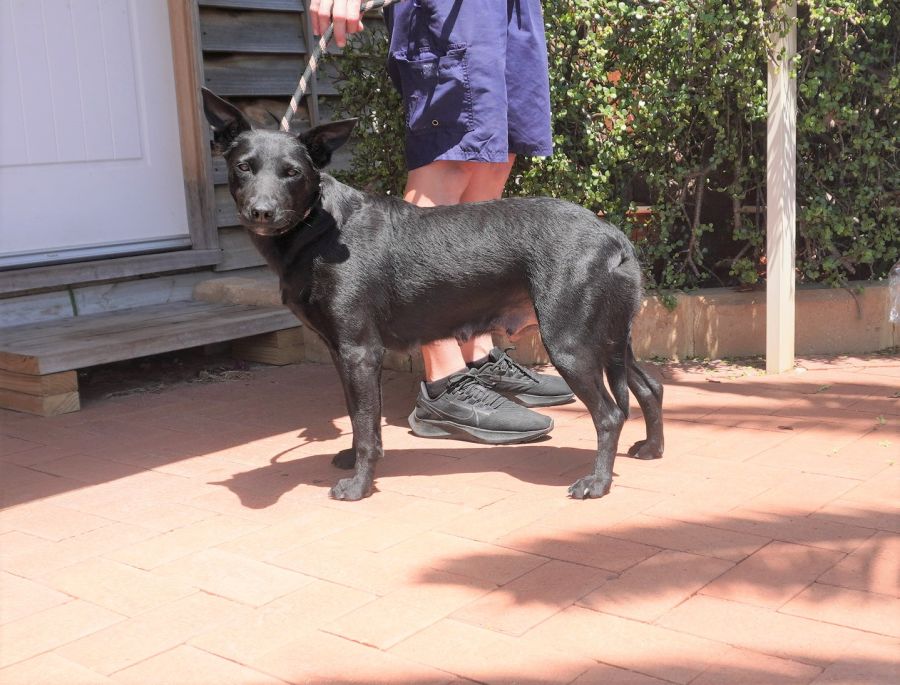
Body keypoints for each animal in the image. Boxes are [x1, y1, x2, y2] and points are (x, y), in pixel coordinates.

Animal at [202, 88, 664, 501]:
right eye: (243, 167)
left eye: (293, 172)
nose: (261, 211)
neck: (323, 227)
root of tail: (613, 236)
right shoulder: (341, 352)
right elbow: (357, 415)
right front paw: (352, 459)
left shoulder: (359, 351)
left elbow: (367, 426)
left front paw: (359, 485)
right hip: (608, 338)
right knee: (649, 388)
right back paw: (651, 449)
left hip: (571, 343)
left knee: (610, 414)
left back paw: (598, 483)